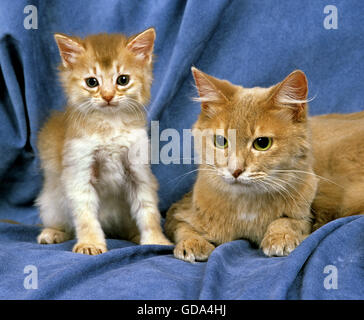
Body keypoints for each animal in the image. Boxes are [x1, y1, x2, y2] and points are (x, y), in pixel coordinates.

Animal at [164, 67, 318, 262]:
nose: (235, 170)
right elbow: (184, 228)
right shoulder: (176, 213)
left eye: (262, 143)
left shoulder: (306, 217)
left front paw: (280, 236)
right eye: (221, 141)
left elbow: (287, 221)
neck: (246, 206)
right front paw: (192, 242)